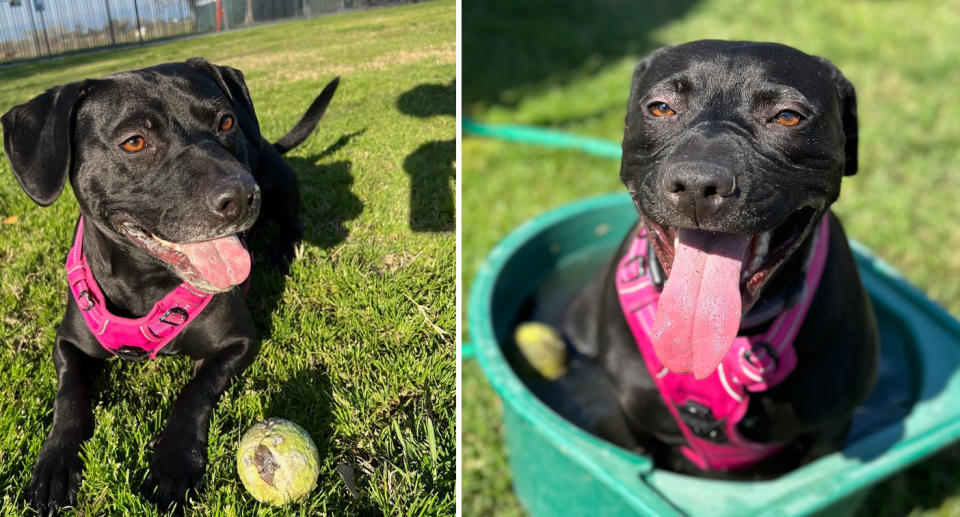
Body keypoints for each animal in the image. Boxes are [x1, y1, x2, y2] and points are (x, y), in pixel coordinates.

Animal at [1, 57, 340, 512]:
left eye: (226, 121)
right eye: (134, 142)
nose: (242, 196)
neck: (145, 283)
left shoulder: (238, 341)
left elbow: (194, 392)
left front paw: (175, 462)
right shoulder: (67, 343)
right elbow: (69, 395)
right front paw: (55, 462)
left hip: (281, 185)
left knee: (293, 223)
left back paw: (281, 251)